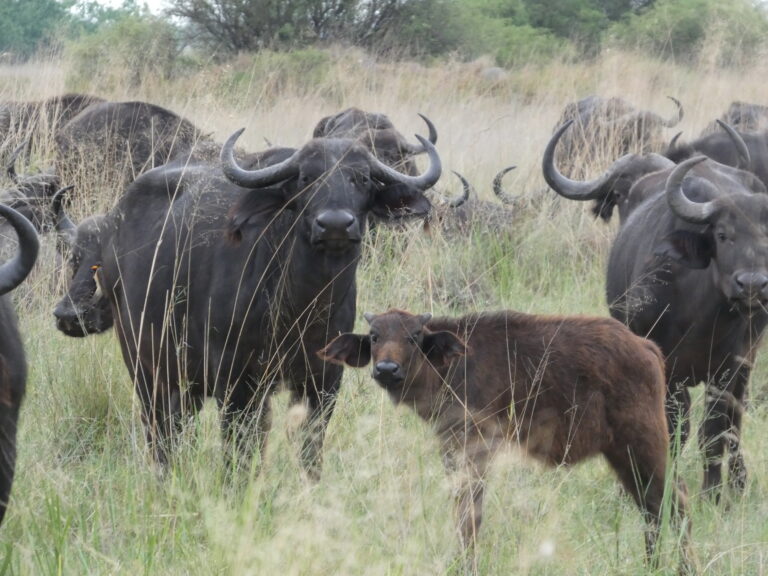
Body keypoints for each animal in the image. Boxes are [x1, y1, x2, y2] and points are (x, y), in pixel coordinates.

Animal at [53, 120, 442, 478]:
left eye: (361, 178)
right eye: (305, 178)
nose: (334, 224)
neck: (302, 305)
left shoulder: (324, 382)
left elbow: (309, 451)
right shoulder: (237, 383)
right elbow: (239, 453)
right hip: (145, 365)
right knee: (161, 430)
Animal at [318, 309, 694, 573]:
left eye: (413, 337)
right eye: (375, 335)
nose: (386, 369)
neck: (450, 365)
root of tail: (645, 347)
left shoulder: (476, 449)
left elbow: (469, 515)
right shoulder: (451, 450)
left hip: (645, 446)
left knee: (676, 502)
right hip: (623, 457)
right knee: (652, 507)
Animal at [545, 122, 768, 499]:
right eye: (723, 235)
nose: (752, 284)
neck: (703, 317)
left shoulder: (729, 367)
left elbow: (714, 431)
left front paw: (712, 494)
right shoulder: (664, 367)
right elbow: (674, 428)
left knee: (734, 421)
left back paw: (737, 484)